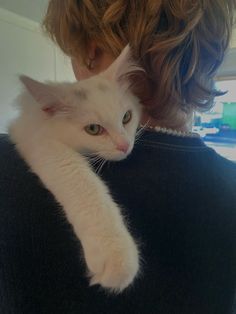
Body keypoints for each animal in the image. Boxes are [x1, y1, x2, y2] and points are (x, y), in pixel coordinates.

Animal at [8, 46, 142, 292]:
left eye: (127, 117)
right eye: (93, 129)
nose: (125, 145)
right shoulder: (37, 139)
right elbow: (82, 182)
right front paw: (116, 254)